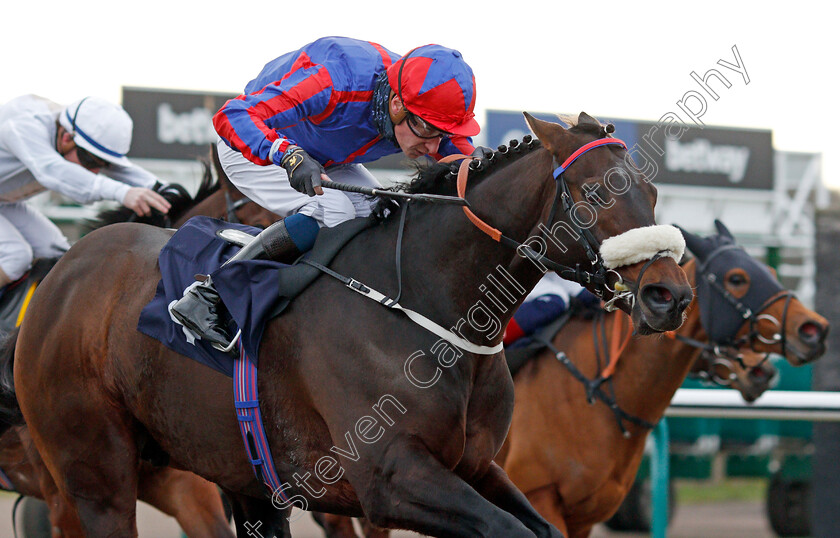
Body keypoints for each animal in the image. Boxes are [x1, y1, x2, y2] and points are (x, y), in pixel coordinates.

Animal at [3, 114, 692, 536]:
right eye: (596, 193)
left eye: (653, 192)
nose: (669, 295)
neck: (430, 309)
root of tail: (68, 267)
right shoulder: (390, 477)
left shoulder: (475, 468)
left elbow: (539, 527)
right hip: (93, 475)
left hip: (234, 473)